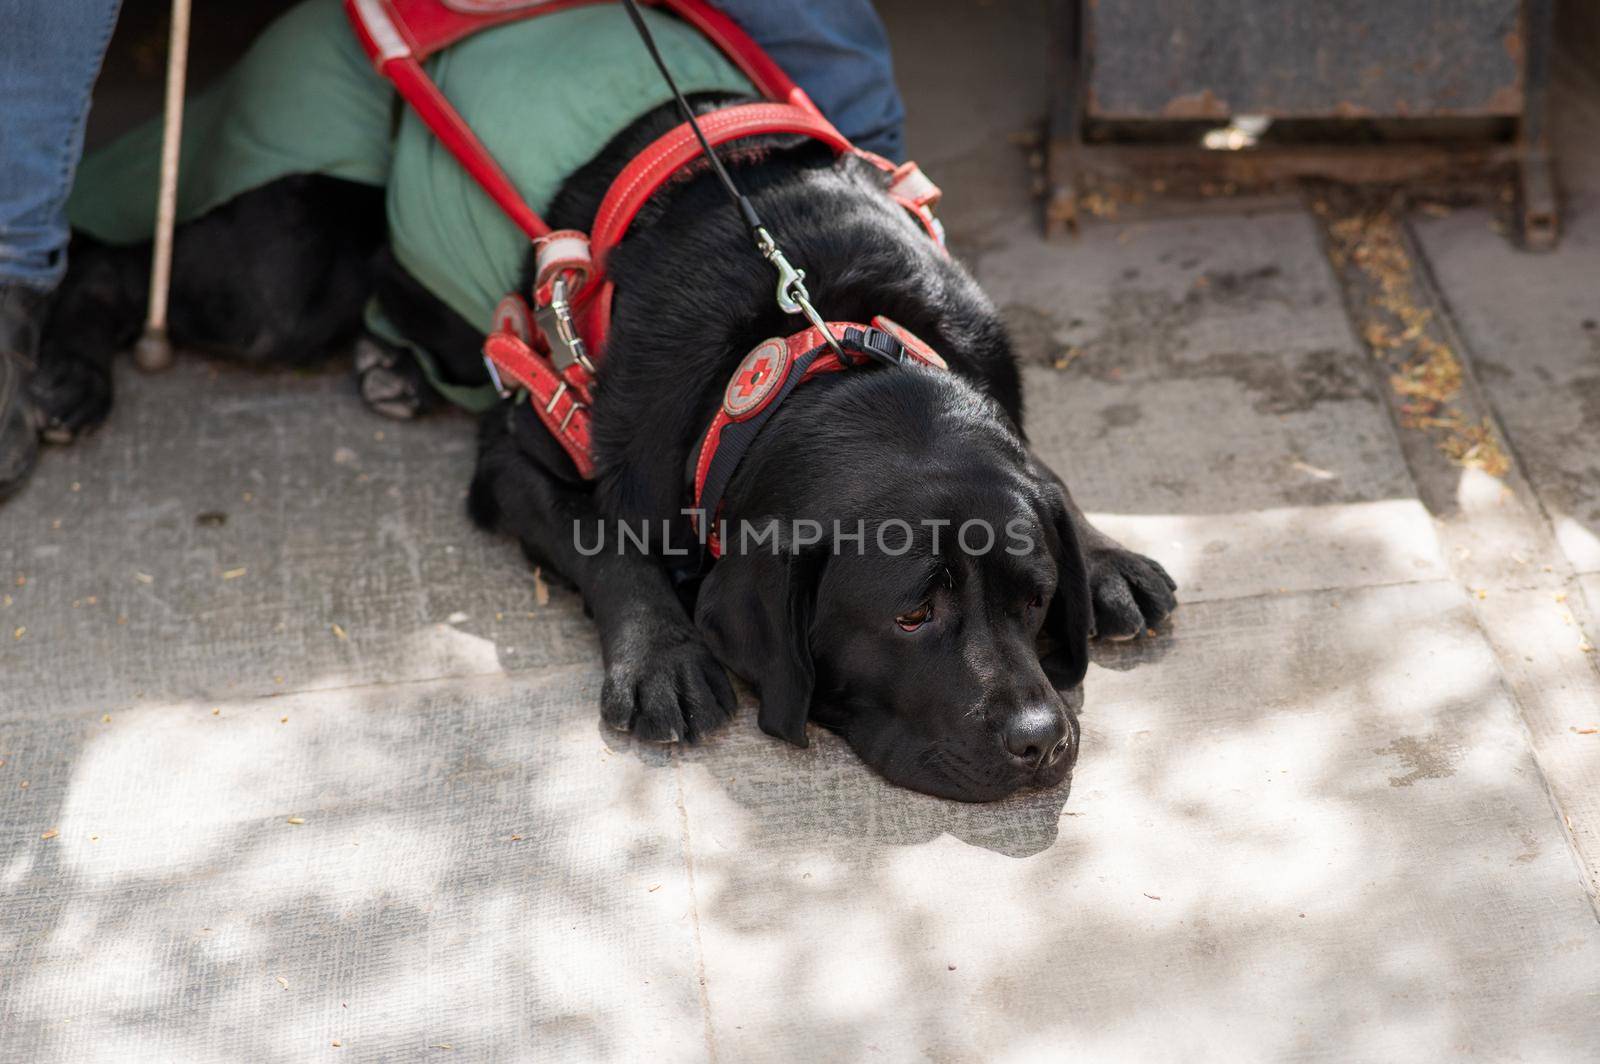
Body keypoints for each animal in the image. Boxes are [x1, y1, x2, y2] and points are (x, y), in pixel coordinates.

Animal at [34, 95, 1177, 800]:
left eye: (1035, 597)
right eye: (910, 613)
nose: (1042, 740)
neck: (811, 337)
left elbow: (1048, 475)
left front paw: (1103, 552)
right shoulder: (521, 453)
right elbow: (608, 544)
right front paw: (661, 654)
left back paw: (393, 362)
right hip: (283, 272)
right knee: (108, 259)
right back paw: (63, 375)